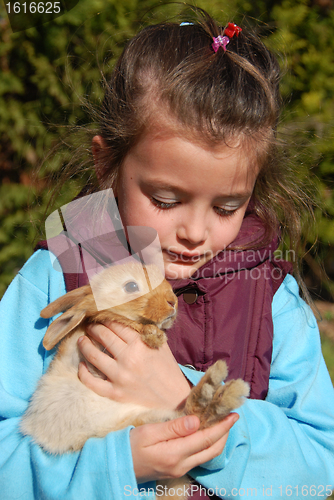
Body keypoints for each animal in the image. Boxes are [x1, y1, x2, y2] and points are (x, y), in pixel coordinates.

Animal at [20, 262, 248, 500]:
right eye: (131, 286)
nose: (172, 302)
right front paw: (154, 336)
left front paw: (154, 334)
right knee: (194, 419)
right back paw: (217, 390)